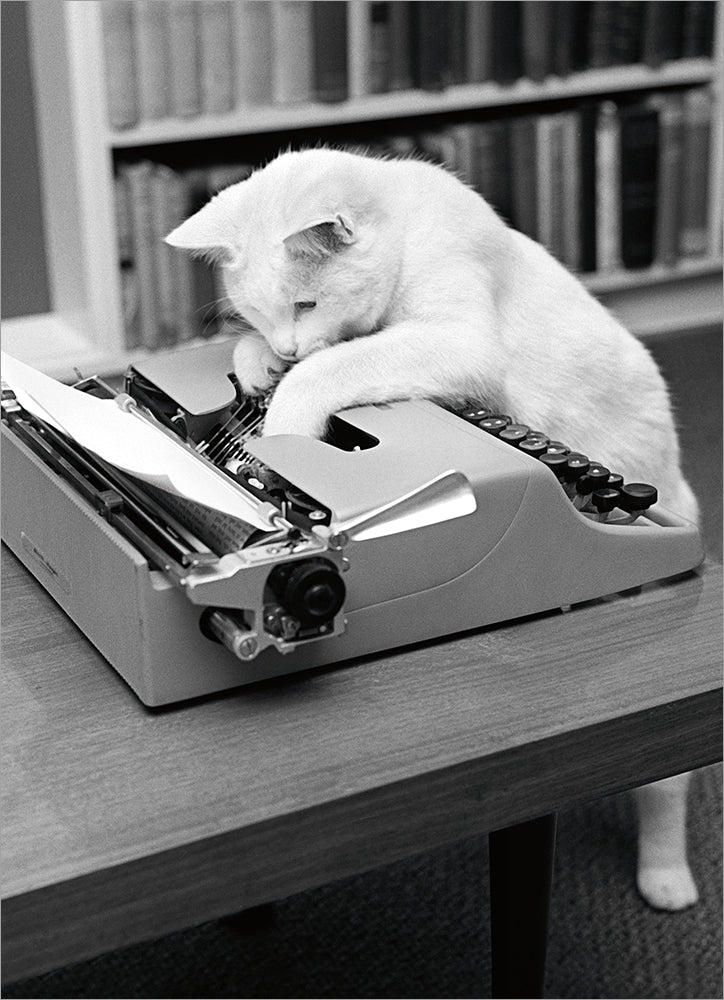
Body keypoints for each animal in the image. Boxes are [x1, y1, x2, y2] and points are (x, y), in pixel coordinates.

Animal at [168, 146, 700, 908]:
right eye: (255, 312)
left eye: (305, 303)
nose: (287, 345)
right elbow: (252, 358)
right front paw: (258, 365)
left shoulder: (455, 339)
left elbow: (331, 368)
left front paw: (280, 436)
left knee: (666, 782)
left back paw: (666, 879)